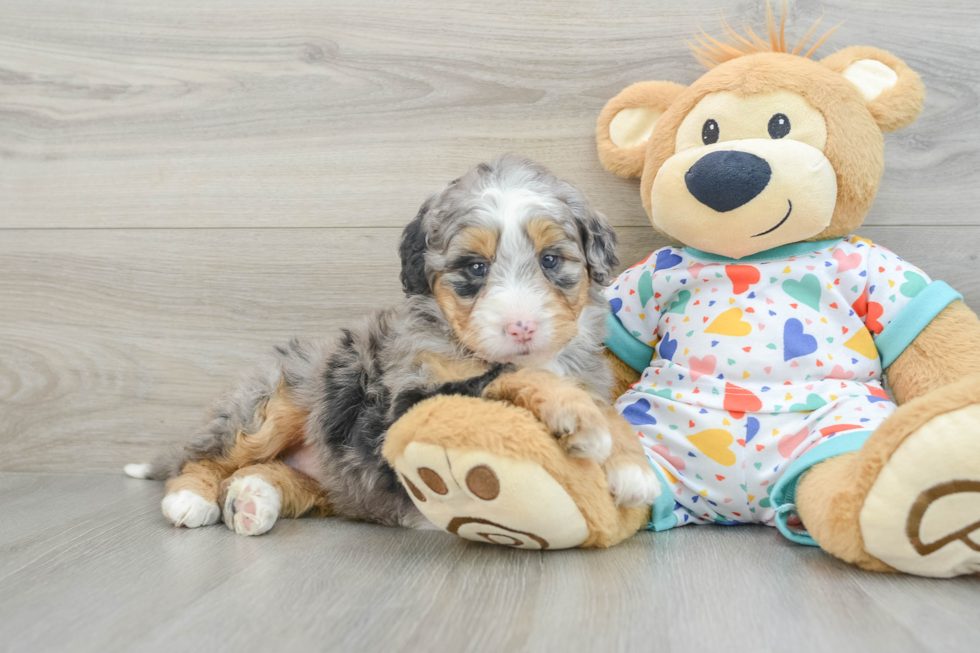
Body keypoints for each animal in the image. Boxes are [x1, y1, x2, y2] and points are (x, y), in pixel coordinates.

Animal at [124, 154, 660, 536]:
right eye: (475, 267)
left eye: (551, 260)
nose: (522, 327)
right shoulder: (410, 400)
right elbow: (512, 373)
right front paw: (583, 421)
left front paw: (631, 467)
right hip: (270, 406)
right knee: (204, 456)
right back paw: (191, 498)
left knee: (276, 477)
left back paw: (256, 499)